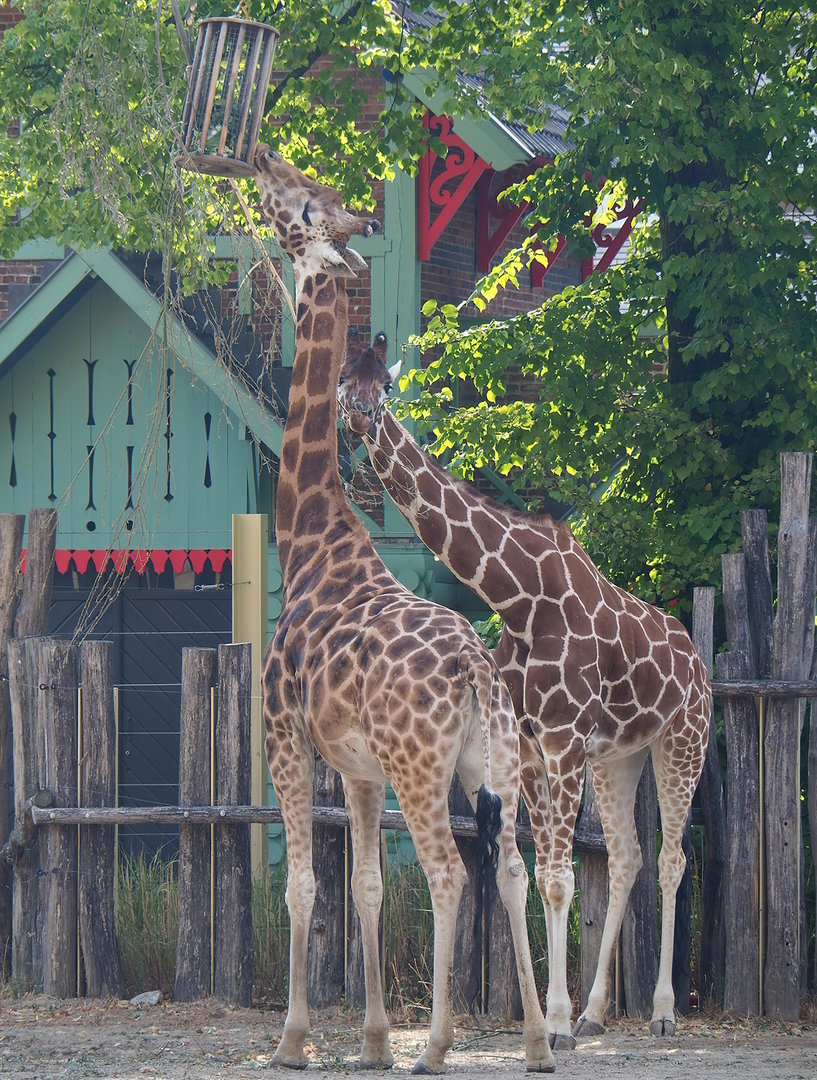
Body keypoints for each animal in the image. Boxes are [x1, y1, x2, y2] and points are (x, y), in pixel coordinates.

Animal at [251, 146, 555, 1074]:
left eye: (291, 200)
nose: (252, 167)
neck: (309, 540)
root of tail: (474, 668)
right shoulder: (357, 767)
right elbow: (367, 884)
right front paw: (376, 1038)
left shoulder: (282, 737)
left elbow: (304, 882)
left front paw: (296, 1039)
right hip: (490, 763)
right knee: (511, 867)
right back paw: (535, 1041)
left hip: (429, 768)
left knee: (452, 873)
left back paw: (442, 1044)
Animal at [338, 331, 712, 1048]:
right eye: (344, 381)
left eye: (386, 387)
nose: (362, 420)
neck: (519, 598)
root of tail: (701, 665)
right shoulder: (537, 746)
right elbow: (543, 876)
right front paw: (559, 1018)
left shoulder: (563, 739)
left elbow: (561, 879)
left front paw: (557, 1024)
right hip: (621, 755)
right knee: (627, 857)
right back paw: (598, 1012)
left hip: (683, 741)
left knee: (674, 858)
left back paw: (661, 1012)